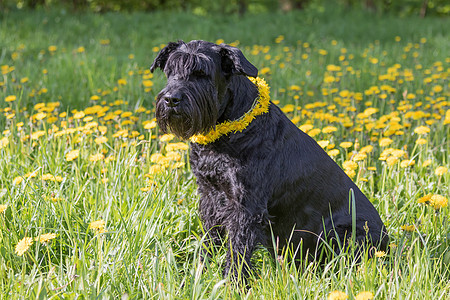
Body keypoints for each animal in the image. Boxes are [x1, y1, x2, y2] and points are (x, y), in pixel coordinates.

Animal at [149, 39, 388, 278]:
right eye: (170, 72)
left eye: (201, 73)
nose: (171, 99)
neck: (226, 133)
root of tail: (387, 242)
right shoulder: (210, 195)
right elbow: (210, 238)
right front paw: (200, 273)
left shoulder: (246, 206)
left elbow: (238, 248)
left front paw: (231, 281)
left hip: (344, 233)